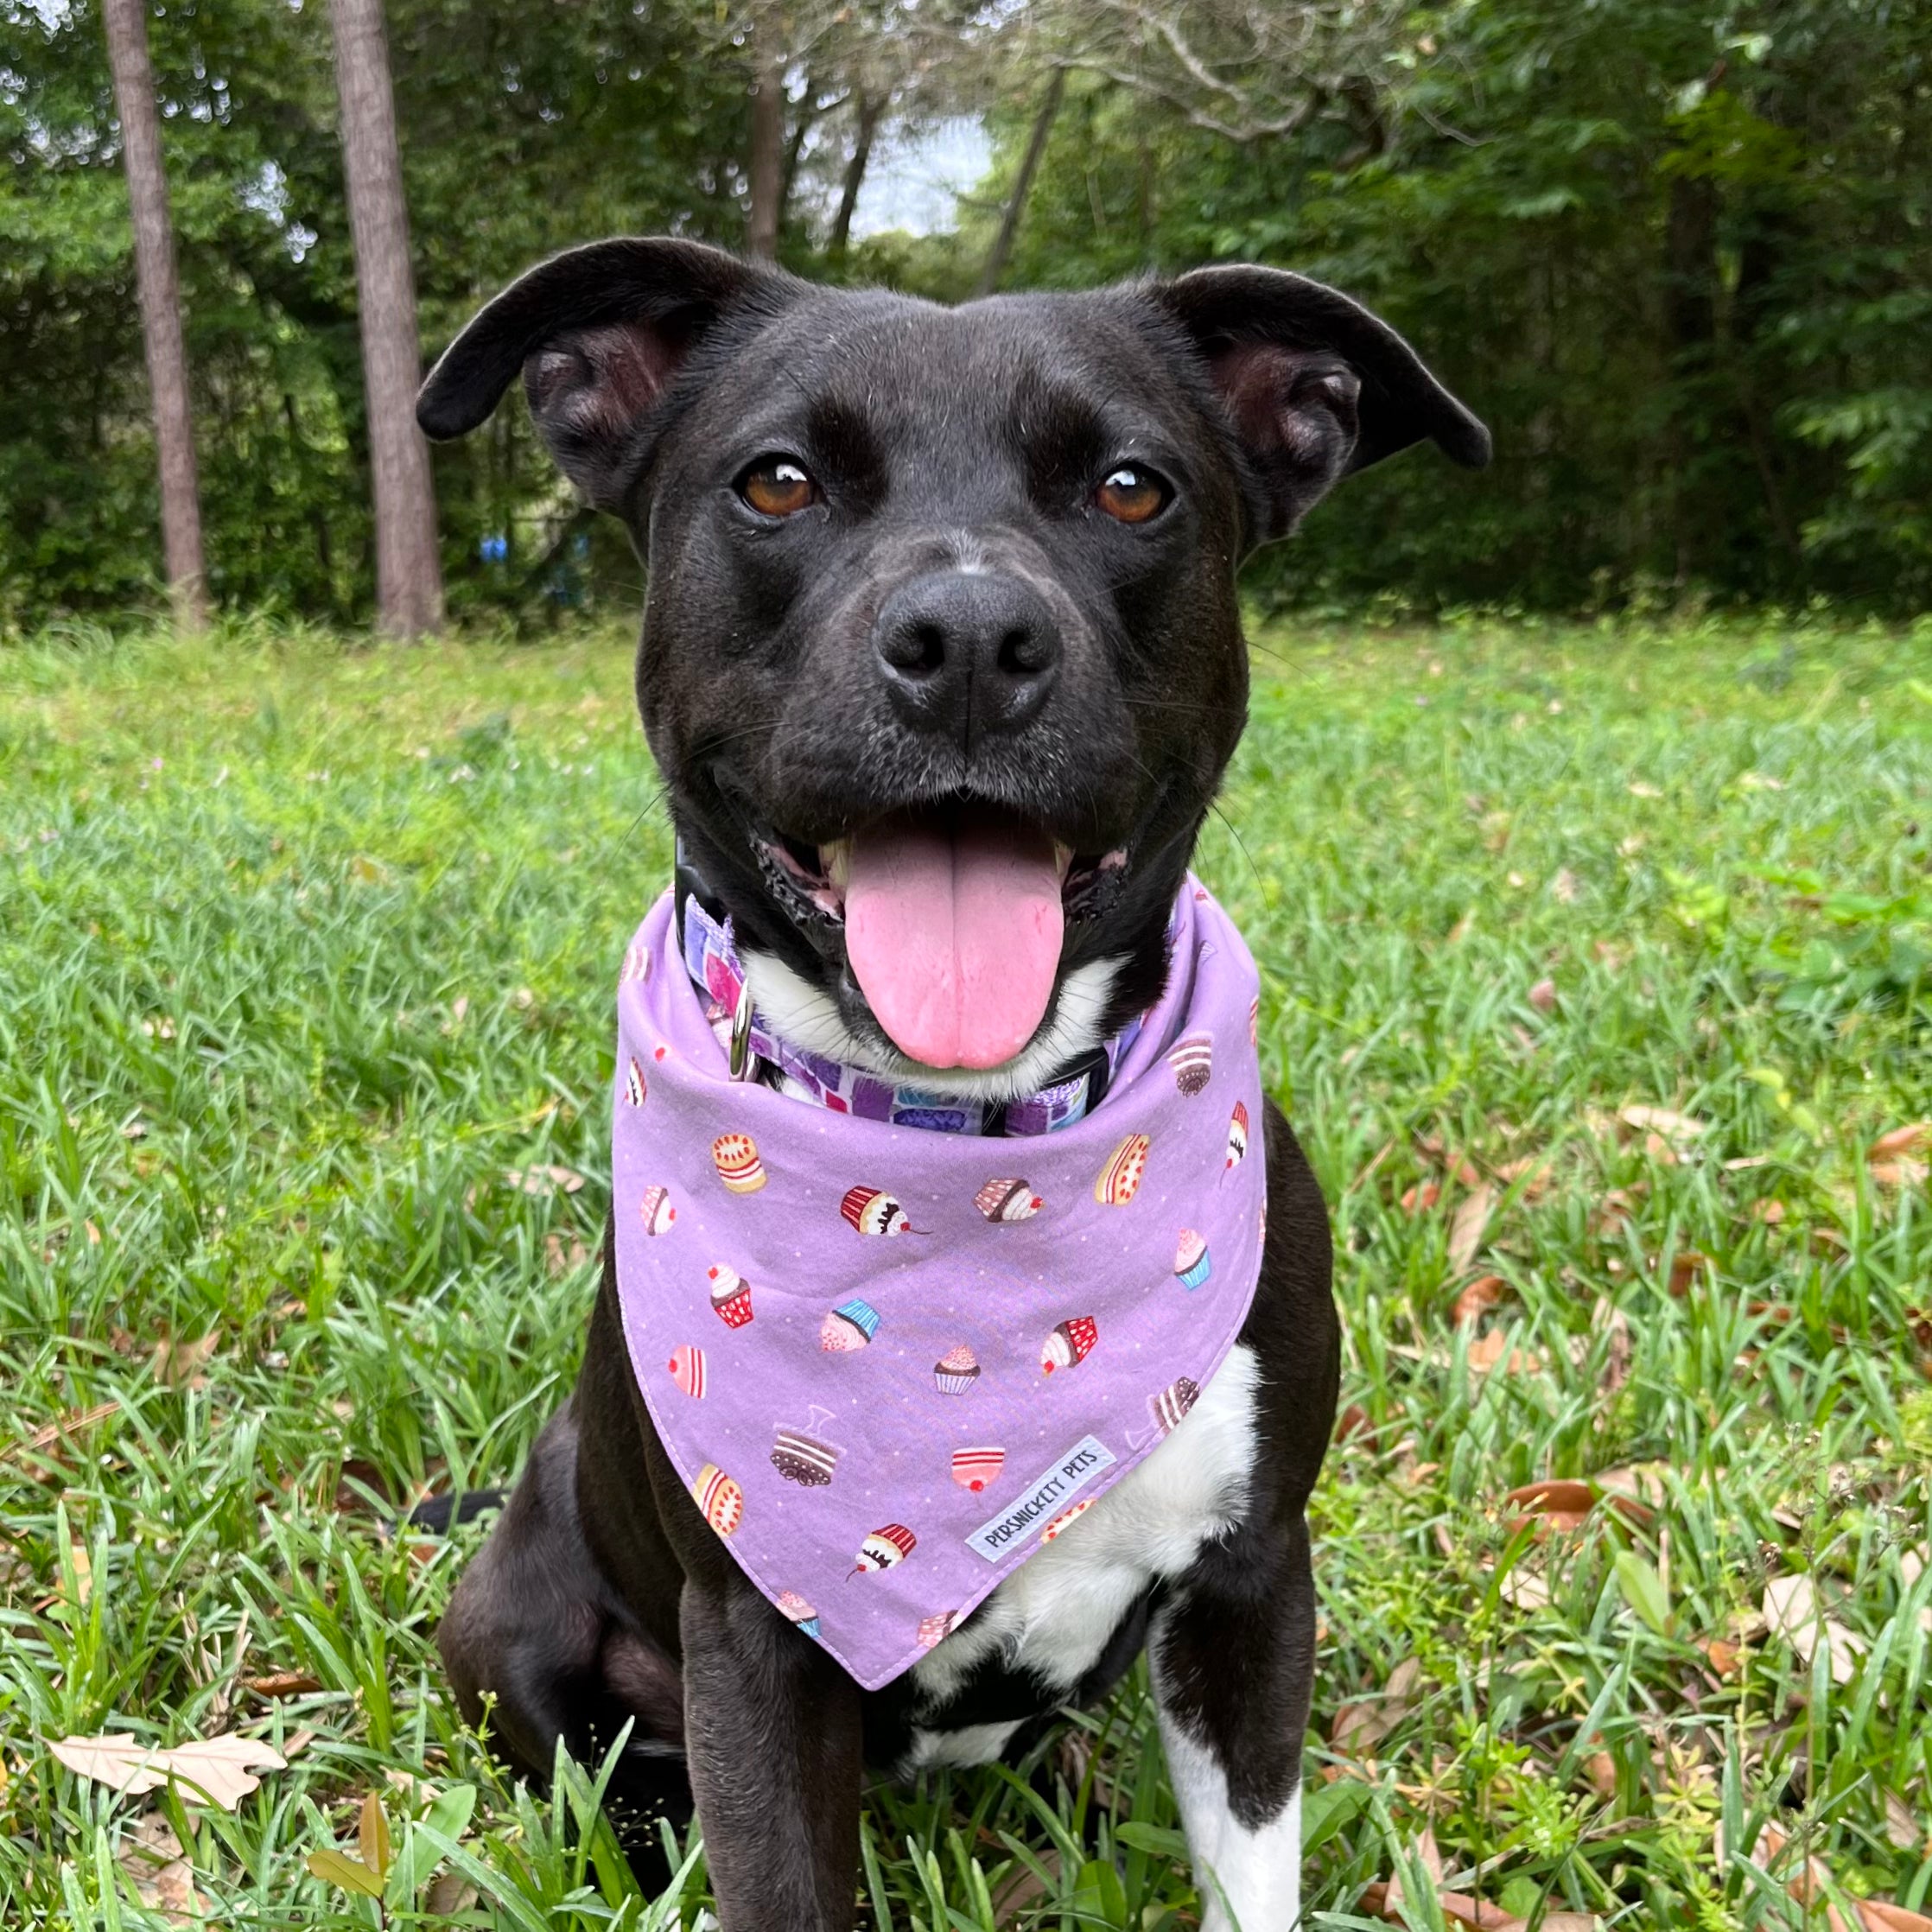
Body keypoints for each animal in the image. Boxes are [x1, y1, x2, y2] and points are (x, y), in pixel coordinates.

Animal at [415, 245, 1484, 1932]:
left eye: (1130, 487)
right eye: (778, 481)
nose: (973, 637)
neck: (963, 1155)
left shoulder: (1252, 1587)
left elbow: (1252, 1865)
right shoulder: (754, 1644)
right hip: (515, 1634)